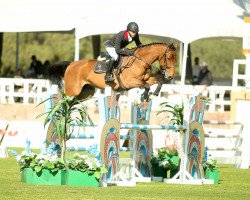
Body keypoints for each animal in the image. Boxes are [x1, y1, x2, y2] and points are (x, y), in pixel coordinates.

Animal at [47, 42, 177, 101]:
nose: (170, 77)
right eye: (169, 58)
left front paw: (154, 94)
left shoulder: (145, 79)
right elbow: (146, 86)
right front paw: (144, 96)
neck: (140, 61)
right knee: (64, 99)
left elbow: (158, 80)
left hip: (86, 92)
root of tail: (71, 64)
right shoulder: (129, 81)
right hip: (72, 90)